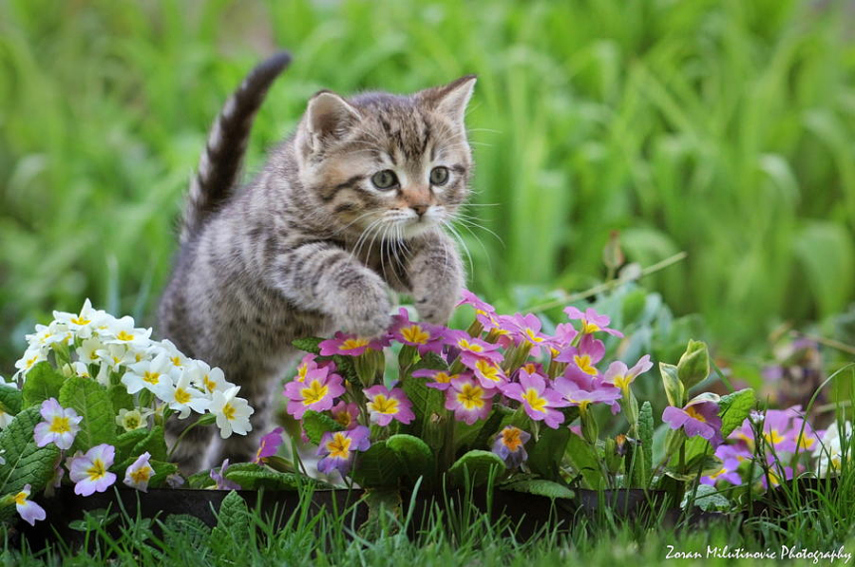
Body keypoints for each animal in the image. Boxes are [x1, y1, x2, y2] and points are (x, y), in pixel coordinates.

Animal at [155, 53, 474, 472]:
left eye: (439, 174)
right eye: (384, 179)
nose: (422, 206)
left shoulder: (389, 251)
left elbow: (434, 243)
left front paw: (441, 291)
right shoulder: (282, 254)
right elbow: (333, 265)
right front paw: (366, 307)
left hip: (249, 396)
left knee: (240, 439)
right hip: (190, 374)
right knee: (179, 442)